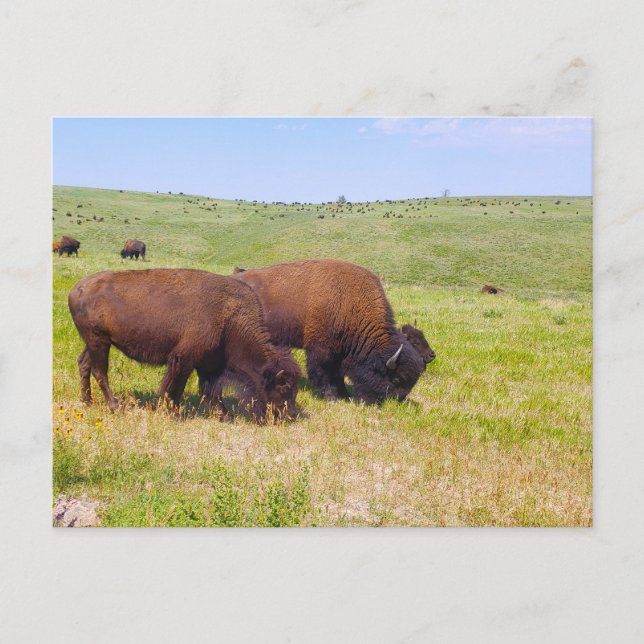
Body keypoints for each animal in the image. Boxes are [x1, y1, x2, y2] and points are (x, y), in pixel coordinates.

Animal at [68, 269, 300, 422]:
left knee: (84, 363)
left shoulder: (209, 364)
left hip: (95, 342)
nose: (290, 414)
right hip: (99, 342)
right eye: (284, 386)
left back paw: (87, 401)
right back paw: (114, 406)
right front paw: (174, 413)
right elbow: (176, 387)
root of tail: (76, 288)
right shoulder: (184, 359)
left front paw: (224, 415)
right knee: (100, 371)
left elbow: (211, 391)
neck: (231, 318)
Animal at [233, 259, 435, 404]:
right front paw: (330, 398)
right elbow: (322, 373)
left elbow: (338, 374)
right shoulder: (320, 349)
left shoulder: (341, 352)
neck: (351, 302)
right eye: (396, 380)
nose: (395, 403)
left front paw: (345, 395)